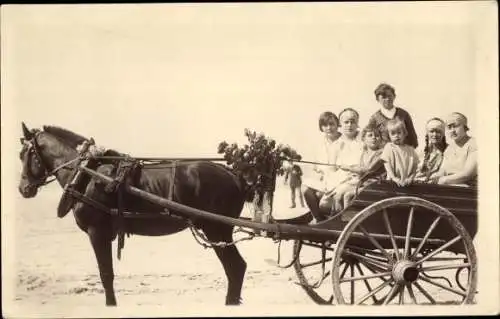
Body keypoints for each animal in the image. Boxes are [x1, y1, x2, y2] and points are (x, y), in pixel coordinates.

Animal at [17, 121, 248, 306]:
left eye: (24, 155)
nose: (23, 188)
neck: (86, 174)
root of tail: (232, 174)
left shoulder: (97, 233)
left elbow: (106, 275)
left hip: (217, 229)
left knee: (235, 268)